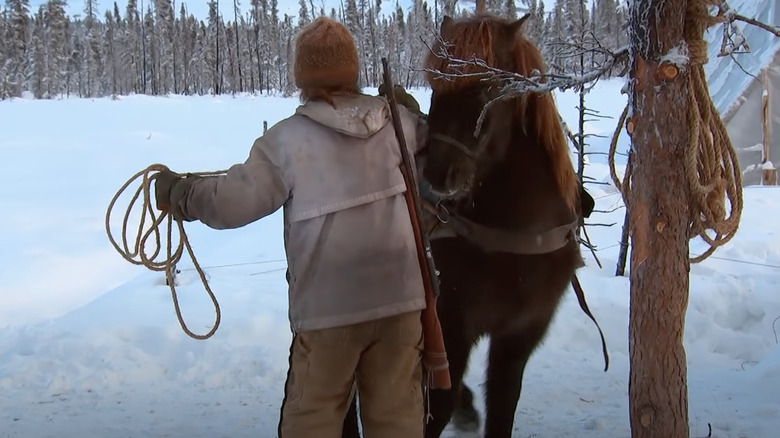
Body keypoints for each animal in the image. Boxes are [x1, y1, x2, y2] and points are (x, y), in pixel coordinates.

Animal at [341, 13, 592, 438]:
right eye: (435, 84)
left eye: (489, 86)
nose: (436, 176)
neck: (515, 237)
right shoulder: (453, 326)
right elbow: (435, 406)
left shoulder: (519, 336)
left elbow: (502, 405)